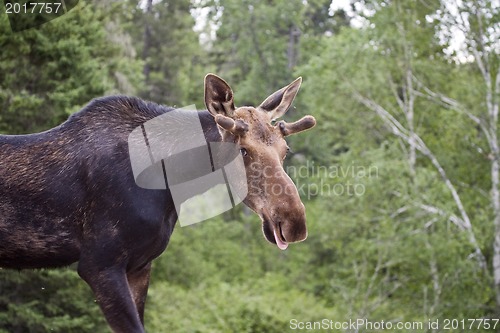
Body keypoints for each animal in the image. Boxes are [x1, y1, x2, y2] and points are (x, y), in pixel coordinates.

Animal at [0, 74, 316, 330]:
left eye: (285, 149)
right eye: (242, 150)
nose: (294, 221)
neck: (171, 184)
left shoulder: (140, 266)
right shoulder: (99, 264)